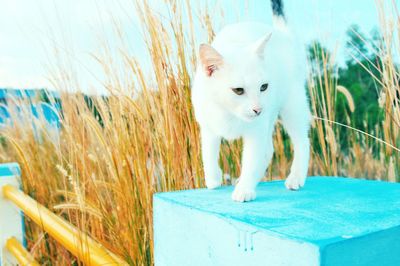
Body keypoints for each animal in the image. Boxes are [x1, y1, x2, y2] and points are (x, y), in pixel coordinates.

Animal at [192, 0, 310, 202]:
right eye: (238, 90)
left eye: (263, 87)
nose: (258, 109)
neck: (228, 114)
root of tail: (283, 35)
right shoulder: (207, 125)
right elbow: (209, 151)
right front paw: (213, 178)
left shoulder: (256, 131)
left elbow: (251, 159)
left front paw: (245, 189)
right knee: (269, 150)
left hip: (292, 105)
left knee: (302, 141)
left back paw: (296, 177)